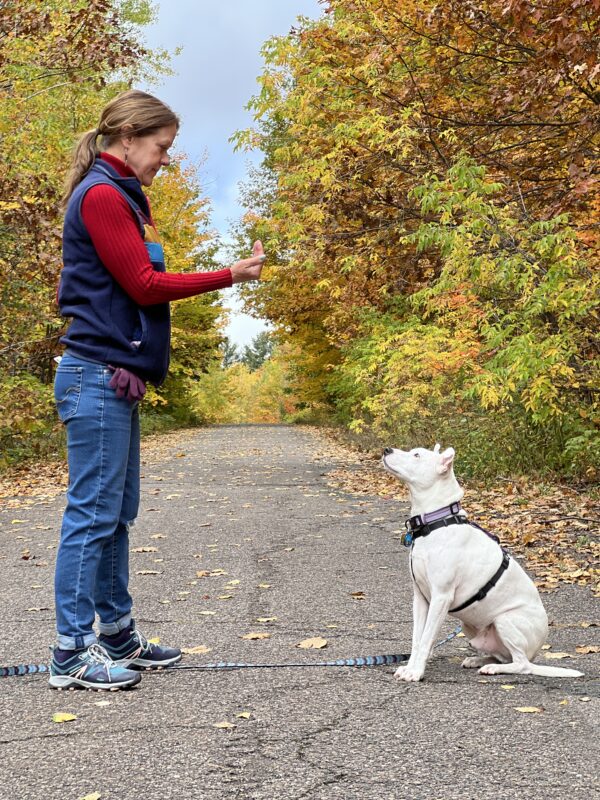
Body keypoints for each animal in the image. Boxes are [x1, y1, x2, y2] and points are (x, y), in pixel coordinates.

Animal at [382, 444, 584, 680]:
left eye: (416, 455)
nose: (386, 450)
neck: (435, 523)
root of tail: (535, 653)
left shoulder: (441, 597)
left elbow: (426, 639)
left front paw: (416, 672)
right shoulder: (421, 598)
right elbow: (417, 639)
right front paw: (410, 667)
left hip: (505, 620)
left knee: (521, 664)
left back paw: (494, 668)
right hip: (471, 628)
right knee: (504, 657)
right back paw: (478, 660)